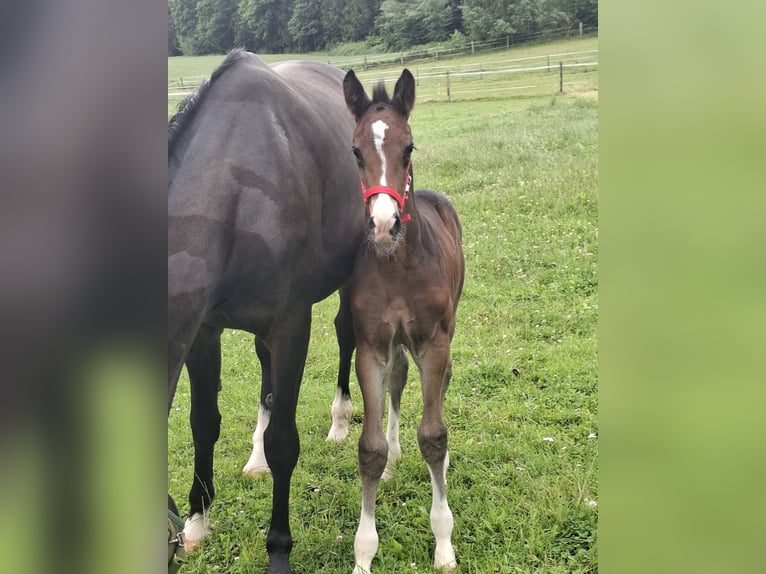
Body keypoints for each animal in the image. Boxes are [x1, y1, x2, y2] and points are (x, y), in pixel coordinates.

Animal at [168, 49, 362, 573]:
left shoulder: (291, 327)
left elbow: (284, 444)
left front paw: (278, 551)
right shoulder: (203, 331)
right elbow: (203, 423)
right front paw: (197, 523)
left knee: (347, 335)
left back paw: (340, 421)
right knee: (264, 373)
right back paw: (253, 456)